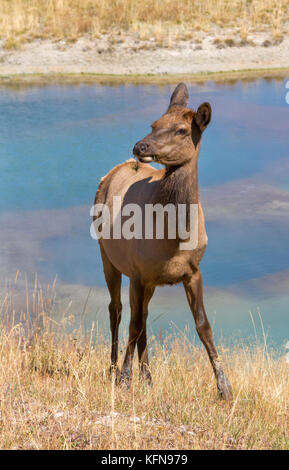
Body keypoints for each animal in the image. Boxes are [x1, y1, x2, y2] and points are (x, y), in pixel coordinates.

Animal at [93, 82, 233, 398]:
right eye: (154, 124)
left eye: (182, 130)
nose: (139, 146)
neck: (174, 238)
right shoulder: (136, 271)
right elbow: (133, 325)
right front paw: (124, 378)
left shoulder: (192, 271)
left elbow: (204, 326)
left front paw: (225, 388)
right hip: (108, 256)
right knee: (117, 310)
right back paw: (112, 369)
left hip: (150, 280)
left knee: (142, 315)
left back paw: (148, 377)